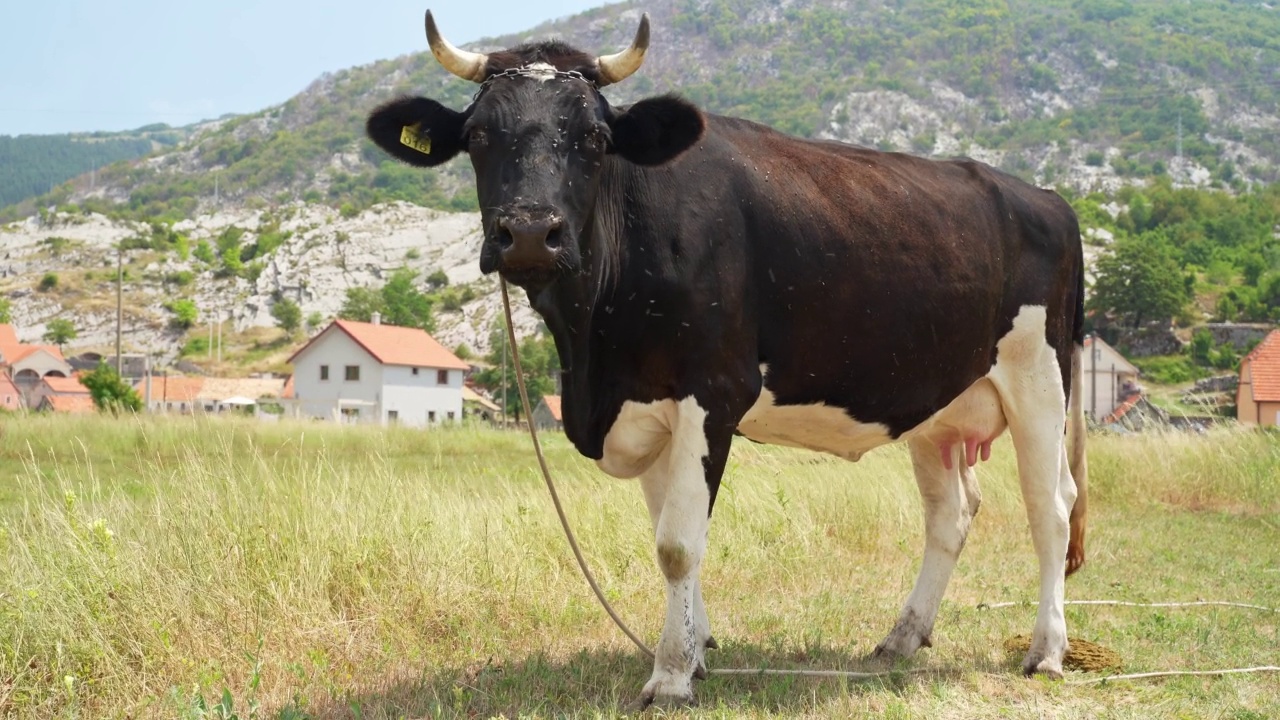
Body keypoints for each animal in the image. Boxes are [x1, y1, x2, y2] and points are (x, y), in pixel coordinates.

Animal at [368, 11, 1090, 707]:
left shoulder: (712, 391)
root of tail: (1046, 198)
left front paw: (670, 675)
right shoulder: (647, 405)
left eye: (595, 139)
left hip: (1039, 379)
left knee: (1051, 508)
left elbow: (677, 544)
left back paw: (1047, 650)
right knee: (951, 514)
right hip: (938, 407)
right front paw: (695, 647)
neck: (594, 351)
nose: (527, 233)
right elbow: (666, 532)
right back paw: (901, 639)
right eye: (478, 137)